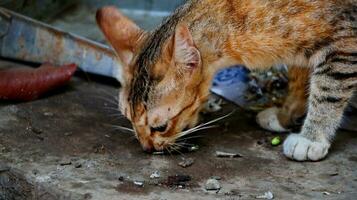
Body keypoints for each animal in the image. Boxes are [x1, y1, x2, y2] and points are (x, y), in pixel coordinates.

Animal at [96, 0, 356, 162]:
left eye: (160, 127)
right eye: (128, 118)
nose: (146, 148)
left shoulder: (345, 42)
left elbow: (327, 91)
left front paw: (311, 138)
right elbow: (299, 77)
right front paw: (286, 115)